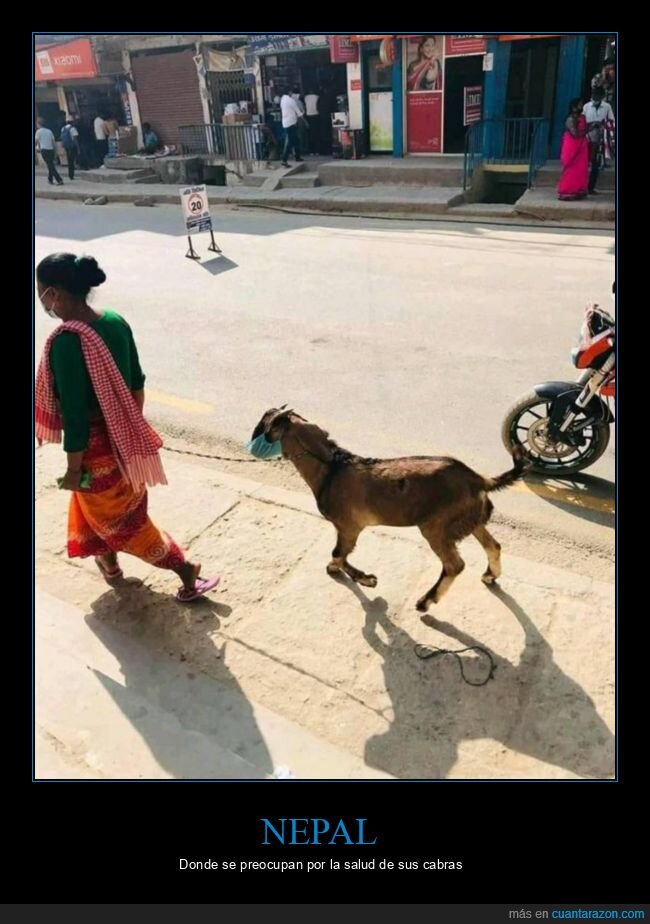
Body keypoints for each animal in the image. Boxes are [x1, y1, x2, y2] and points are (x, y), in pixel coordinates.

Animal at [249, 408, 528, 608]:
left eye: (262, 424)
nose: (252, 442)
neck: (332, 468)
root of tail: (478, 479)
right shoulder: (349, 527)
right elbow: (341, 553)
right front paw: (352, 574)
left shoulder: (348, 526)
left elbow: (339, 552)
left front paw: (361, 578)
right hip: (470, 518)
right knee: (492, 545)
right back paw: (490, 575)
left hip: (436, 526)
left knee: (454, 565)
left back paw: (427, 601)